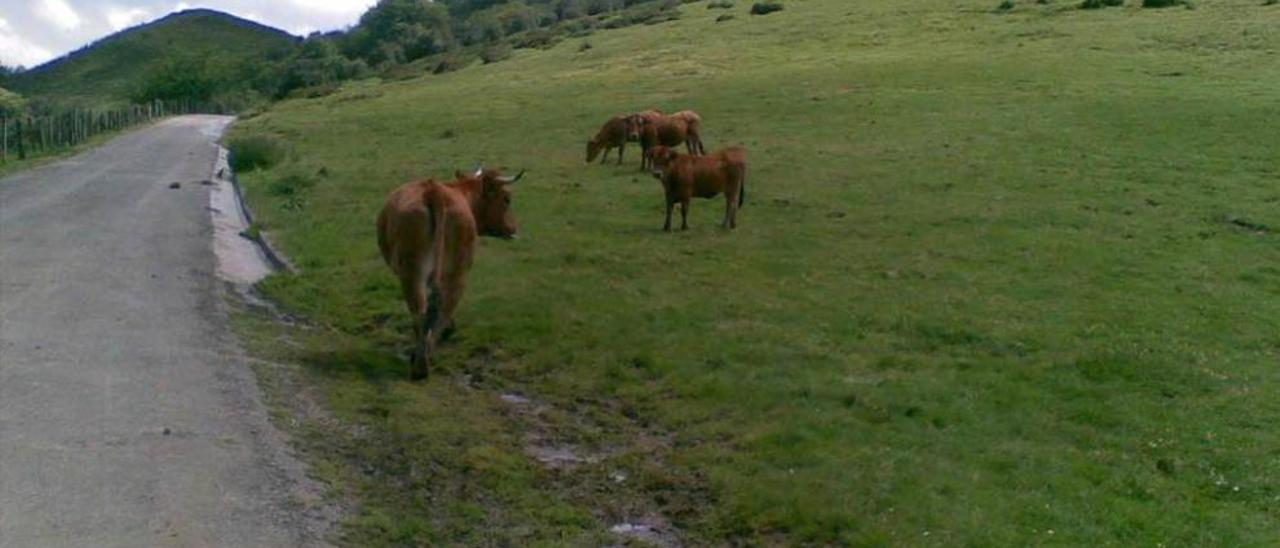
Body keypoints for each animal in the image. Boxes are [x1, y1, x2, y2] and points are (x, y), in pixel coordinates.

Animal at [376, 166, 522, 381]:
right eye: (506, 199)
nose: (514, 229)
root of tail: (434, 191)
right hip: (453, 271)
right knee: (439, 306)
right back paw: (425, 359)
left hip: (417, 272)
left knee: (426, 308)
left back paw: (422, 360)